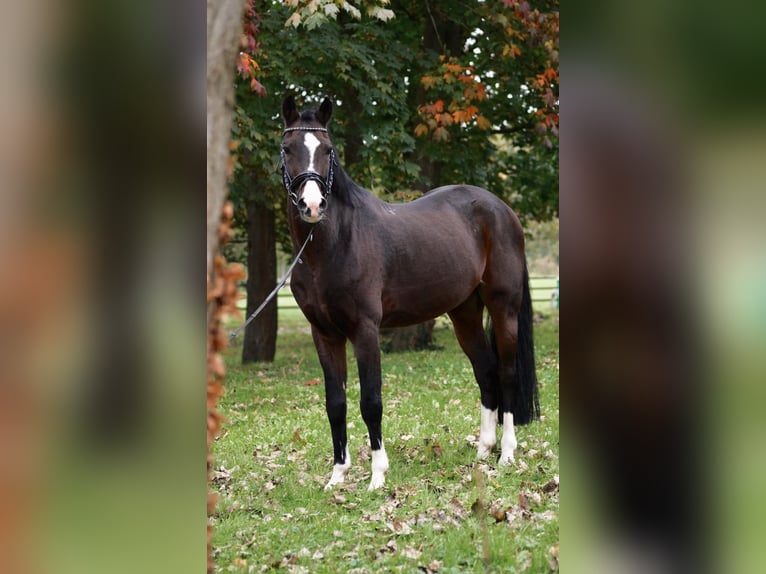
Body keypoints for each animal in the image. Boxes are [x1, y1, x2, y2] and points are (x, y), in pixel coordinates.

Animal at [280, 97, 540, 492]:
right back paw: (484, 450)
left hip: (503, 309)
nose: (311, 206)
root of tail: (502, 210)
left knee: (507, 373)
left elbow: (371, 402)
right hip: (465, 314)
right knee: (486, 371)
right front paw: (337, 476)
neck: (333, 246)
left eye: (328, 150)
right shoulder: (323, 334)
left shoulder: (365, 331)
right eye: (287, 149)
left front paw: (377, 476)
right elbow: (335, 403)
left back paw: (507, 454)